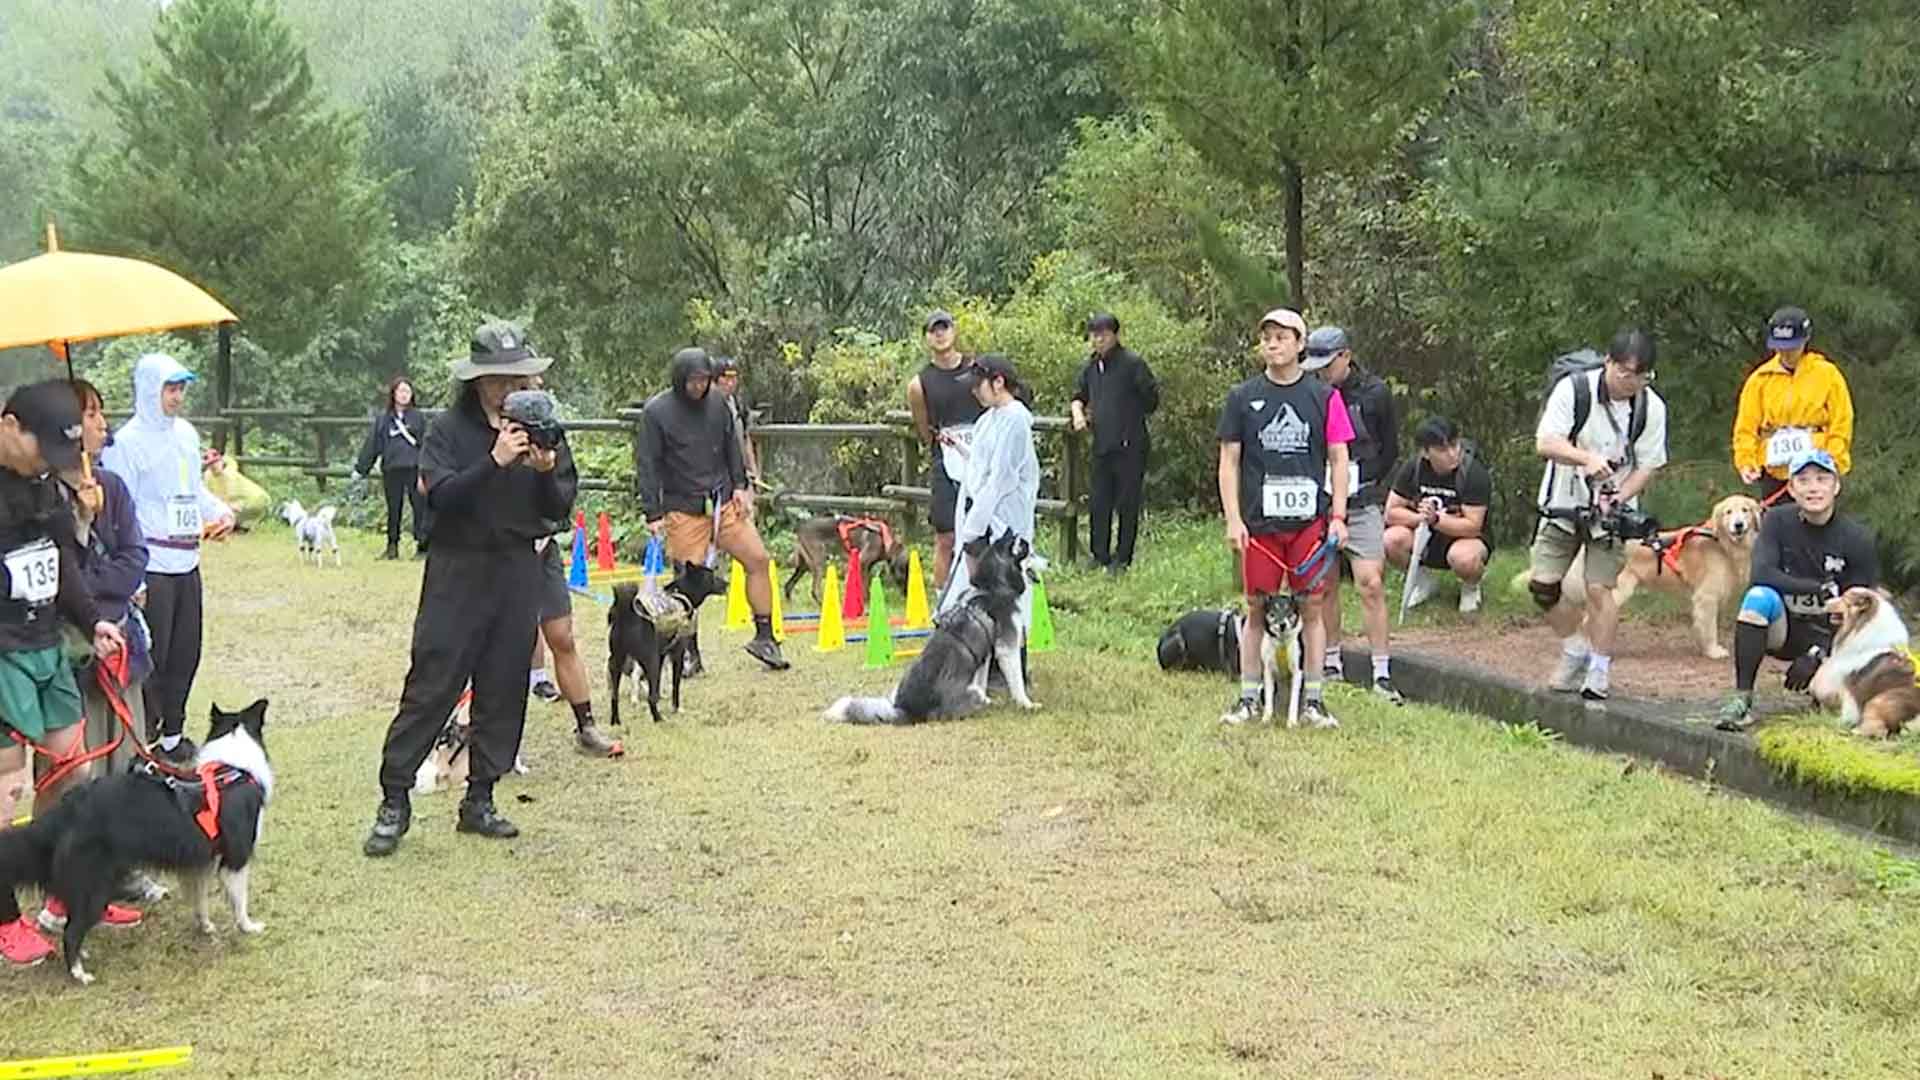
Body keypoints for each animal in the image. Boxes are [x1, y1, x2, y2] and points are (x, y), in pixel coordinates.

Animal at [0, 699, 274, 983]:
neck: (232, 770)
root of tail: (68, 807)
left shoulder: (202, 862)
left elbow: (200, 900)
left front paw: (206, 926)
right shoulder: (236, 859)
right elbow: (239, 901)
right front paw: (248, 927)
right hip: (96, 883)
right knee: (71, 932)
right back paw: (80, 973)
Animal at [610, 564, 729, 722]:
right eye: (711, 576)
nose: (727, 583)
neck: (680, 596)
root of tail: (628, 616)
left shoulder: (662, 655)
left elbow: (658, 686)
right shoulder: (677, 653)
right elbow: (675, 685)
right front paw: (676, 708)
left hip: (617, 662)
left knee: (614, 695)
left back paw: (616, 721)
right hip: (650, 661)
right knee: (649, 696)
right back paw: (658, 718)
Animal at [1804, 584, 1912, 734]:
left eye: (1845, 599)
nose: (1825, 602)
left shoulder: (1849, 689)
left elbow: (1848, 712)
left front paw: (1836, 722)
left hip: (1880, 700)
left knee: (1880, 730)